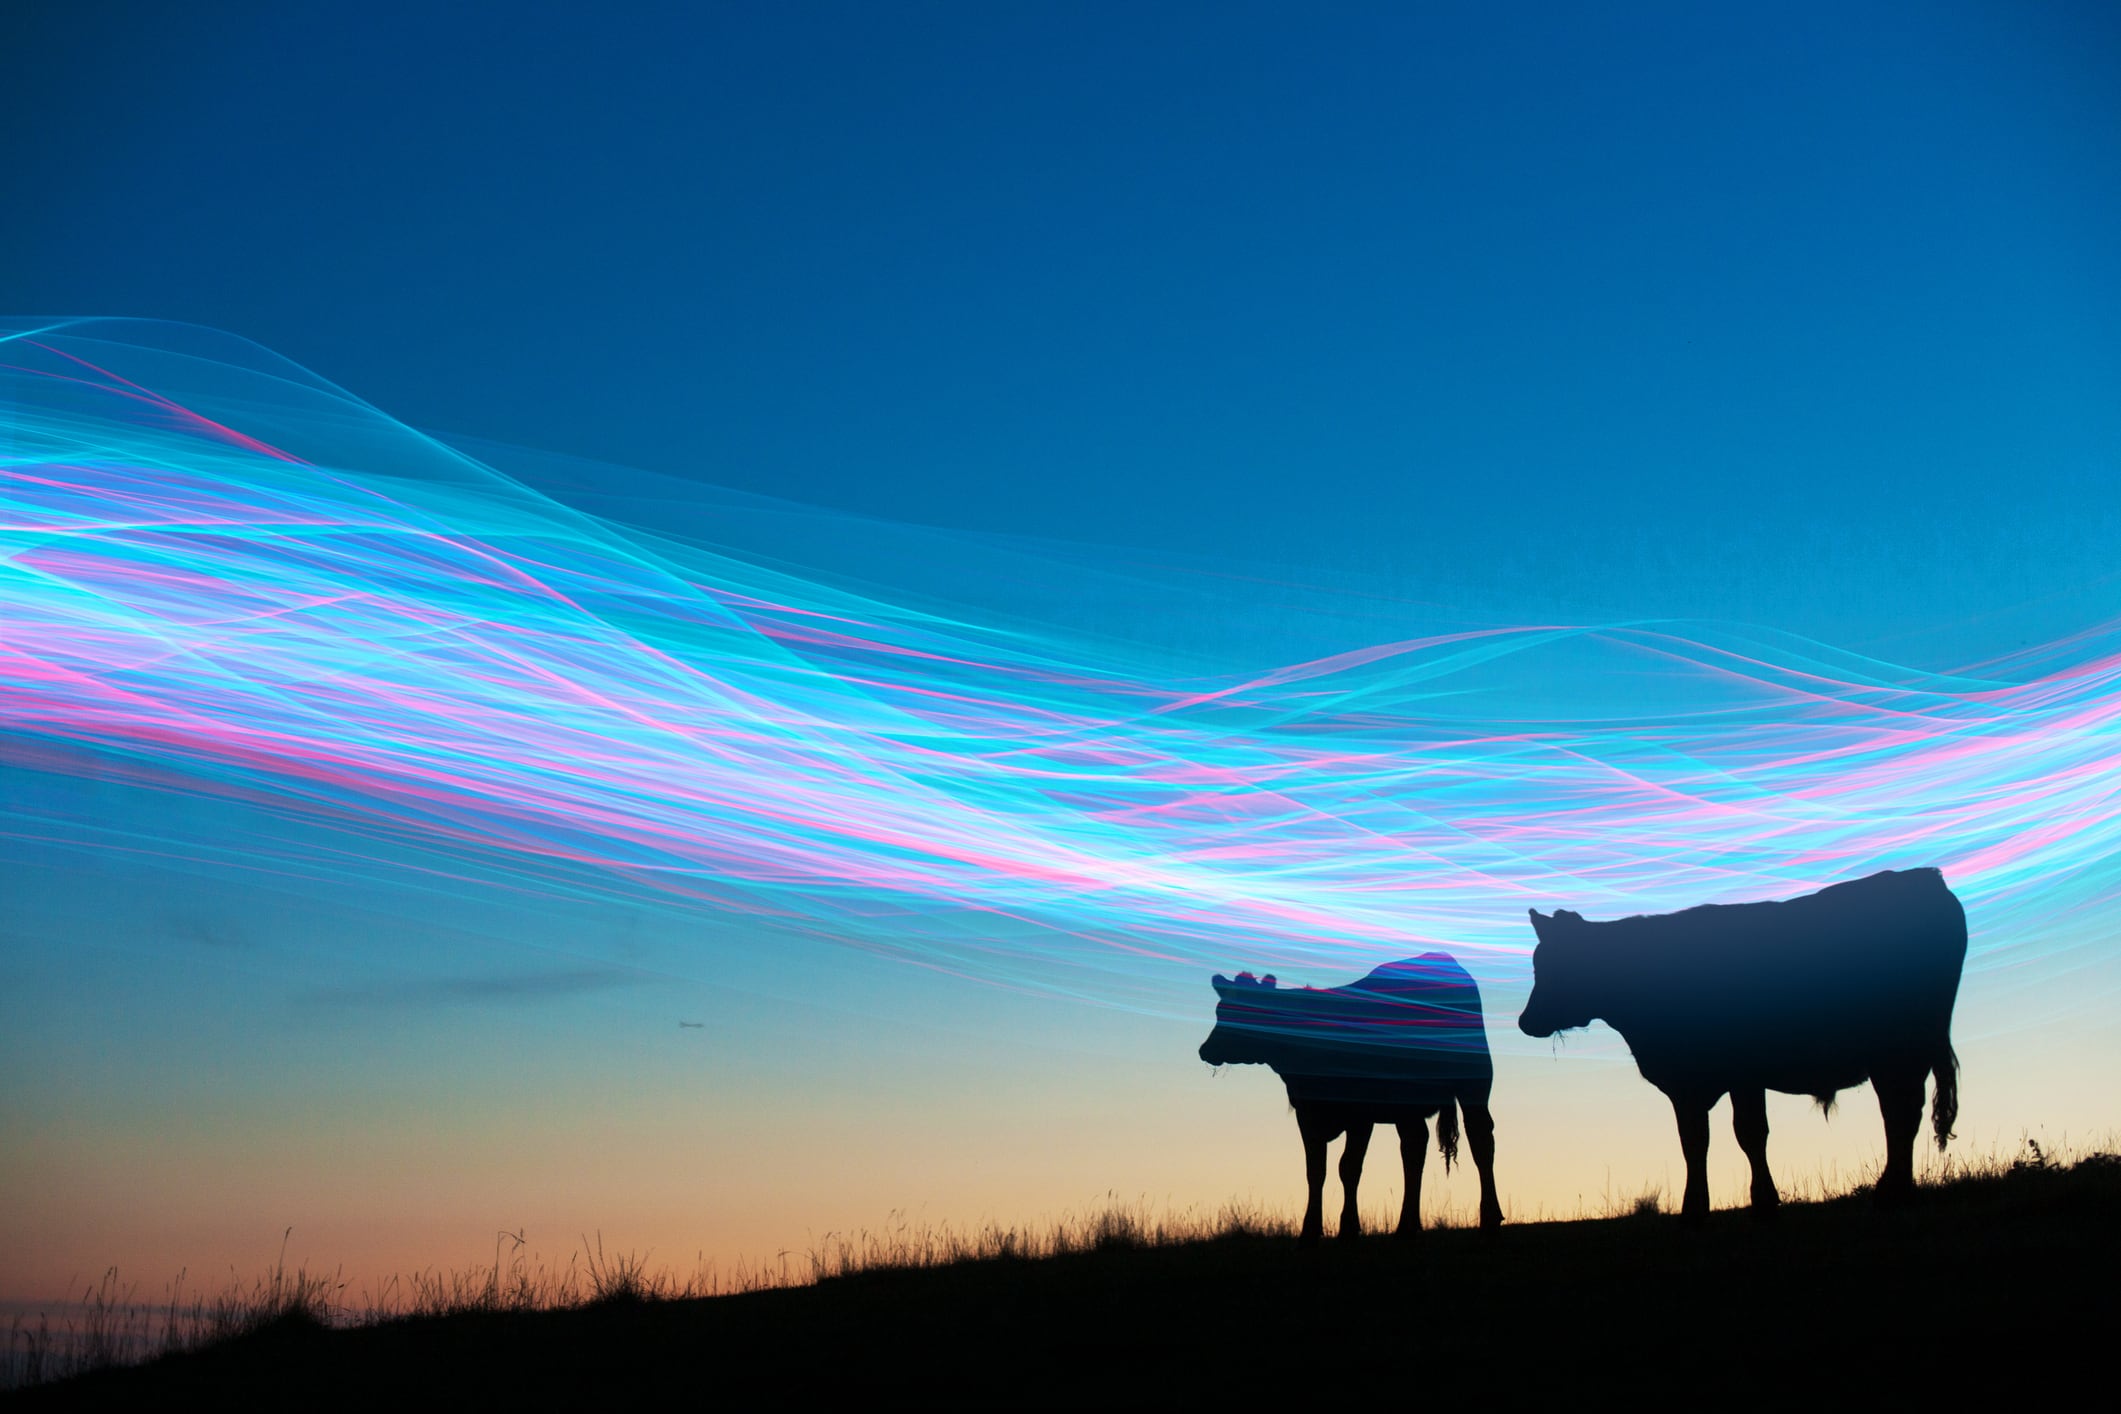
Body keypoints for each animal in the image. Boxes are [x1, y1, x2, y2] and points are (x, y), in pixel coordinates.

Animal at [1199, 953, 1504, 1243]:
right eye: (1220, 1010)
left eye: (1241, 1012)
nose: (1205, 1050)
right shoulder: (1307, 1113)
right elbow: (1315, 1171)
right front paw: (1309, 1231)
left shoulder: (1361, 1114)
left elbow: (1349, 1167)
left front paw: (1348, 1228)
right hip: (1407, 1104)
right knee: (1414, 1148)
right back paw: (1406, 1227)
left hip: (1474, 1081)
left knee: (1480, 1140)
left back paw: (1489, 1219)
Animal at [1517, 866, 1967, 1221]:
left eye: (1555, 963)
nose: (1525, 1021)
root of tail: (1927, 878)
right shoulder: (1688, 1084)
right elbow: (1694, 1141)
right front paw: (1696, 1209)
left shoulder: (1742, 1072)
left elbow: (1749, 1133)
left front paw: (1761, 1202)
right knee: (1905, 1111)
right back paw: (1900, 1192)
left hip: (1898, 1046)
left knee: (1899, 1112)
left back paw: (1890, 1193)